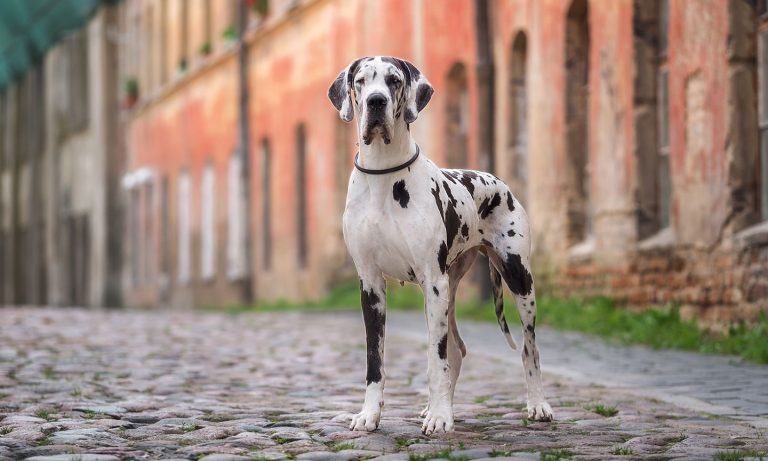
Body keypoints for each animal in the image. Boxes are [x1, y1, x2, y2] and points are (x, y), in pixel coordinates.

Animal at [328, 55, 548, 434]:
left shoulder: (433, 282)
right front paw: (369, 415)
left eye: (394, 80)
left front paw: (441, 417)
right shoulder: (370, 284)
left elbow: (436, 358)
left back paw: (537, 405)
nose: (376, 102)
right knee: (457, 349)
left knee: (526, 348)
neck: (384, 176)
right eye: (360, 81)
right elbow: (375, 361)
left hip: (518, 279)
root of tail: (497, 180)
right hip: (451, 290)